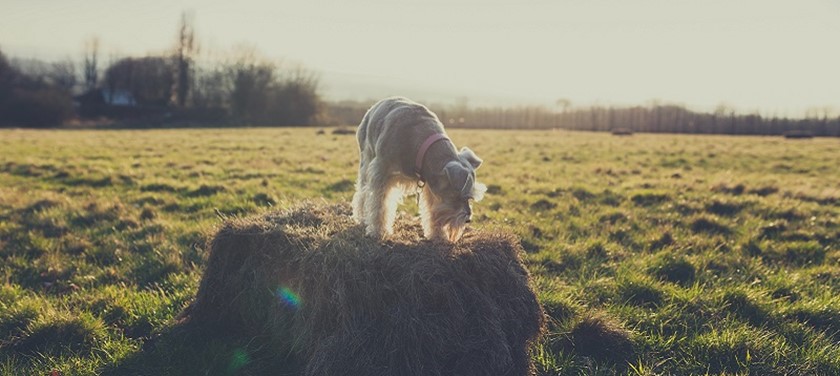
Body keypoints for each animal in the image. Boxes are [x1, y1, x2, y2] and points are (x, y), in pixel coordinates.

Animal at [352, 97, 486, 242]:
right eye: (459, 196)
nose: (468, 220)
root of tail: (374, 107)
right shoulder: (381, 173)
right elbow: (380, 205)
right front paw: (378, 231)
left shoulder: (430, 186)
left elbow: (432, 210)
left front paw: (437, 234)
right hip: (366, 160)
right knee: (362, 192)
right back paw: (362, 217)